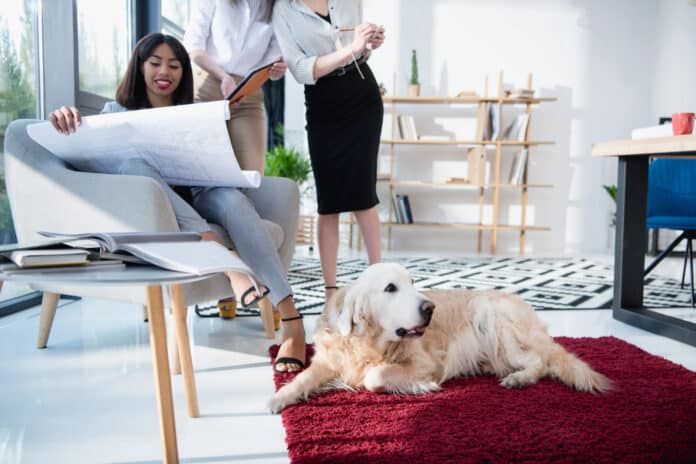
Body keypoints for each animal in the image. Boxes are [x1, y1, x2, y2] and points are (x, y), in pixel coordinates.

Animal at [266, 260, 608, 414]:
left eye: (413, 282)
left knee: (540, 361)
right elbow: (305, 377)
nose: (429, 307)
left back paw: (519, 378)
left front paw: (419, 387)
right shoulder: (330, 359)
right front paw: (281, 396)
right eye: (390, 288)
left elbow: (375, 376)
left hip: (492, 317)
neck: (370, 343)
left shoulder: (425, 362)